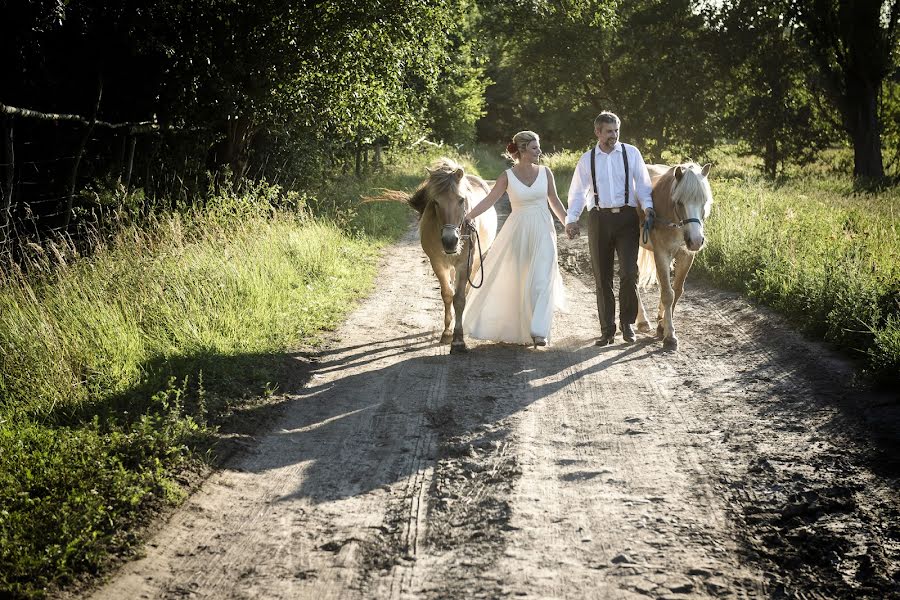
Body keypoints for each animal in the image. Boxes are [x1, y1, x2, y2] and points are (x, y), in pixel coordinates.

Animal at [370, 159, 500, 354]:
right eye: (436, 202)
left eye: (461, 200)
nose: (450, 241)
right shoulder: (437, 263)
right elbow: (447, 294)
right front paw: (447, 333)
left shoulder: (465, 264)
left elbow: (459, 299)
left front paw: (458, 340)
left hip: (477, 260)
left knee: (466, 291)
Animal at [636, 163, 712, 352]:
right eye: (679, 202)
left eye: (704, 201)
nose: (696, 241)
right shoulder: (661, 253)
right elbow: (667, 294)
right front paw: (670, 336)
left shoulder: (686, 256)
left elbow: (676, 291)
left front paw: (663, 326)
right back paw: (642, 321)